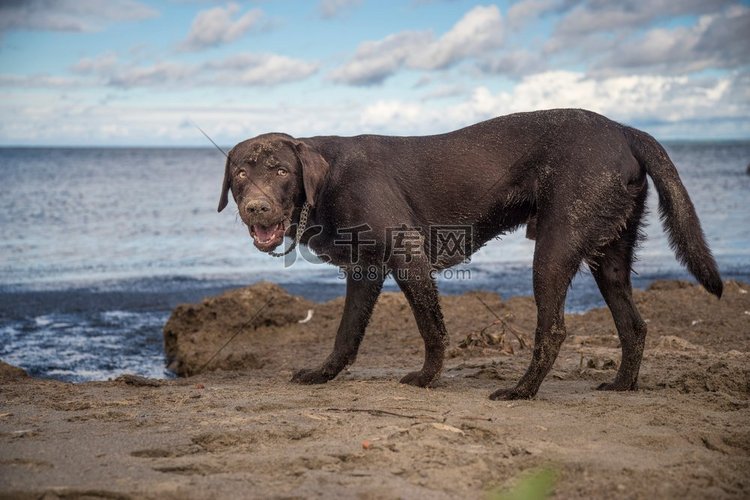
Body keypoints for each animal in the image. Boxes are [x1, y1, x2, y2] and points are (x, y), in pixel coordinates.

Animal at [217, 108, 724, 398]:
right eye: (240, 174)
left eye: (281, 170)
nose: (256, 207)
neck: (326, 181)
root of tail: (624, 129)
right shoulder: (364, 272)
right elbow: (345, 336)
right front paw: (323, 375)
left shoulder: (409, 257)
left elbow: (432, 329)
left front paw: (427, 379)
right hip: (609, 257)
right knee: (634, 325)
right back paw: (622, 385)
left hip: (554, 250)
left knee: (553, 330)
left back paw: (522, 391)